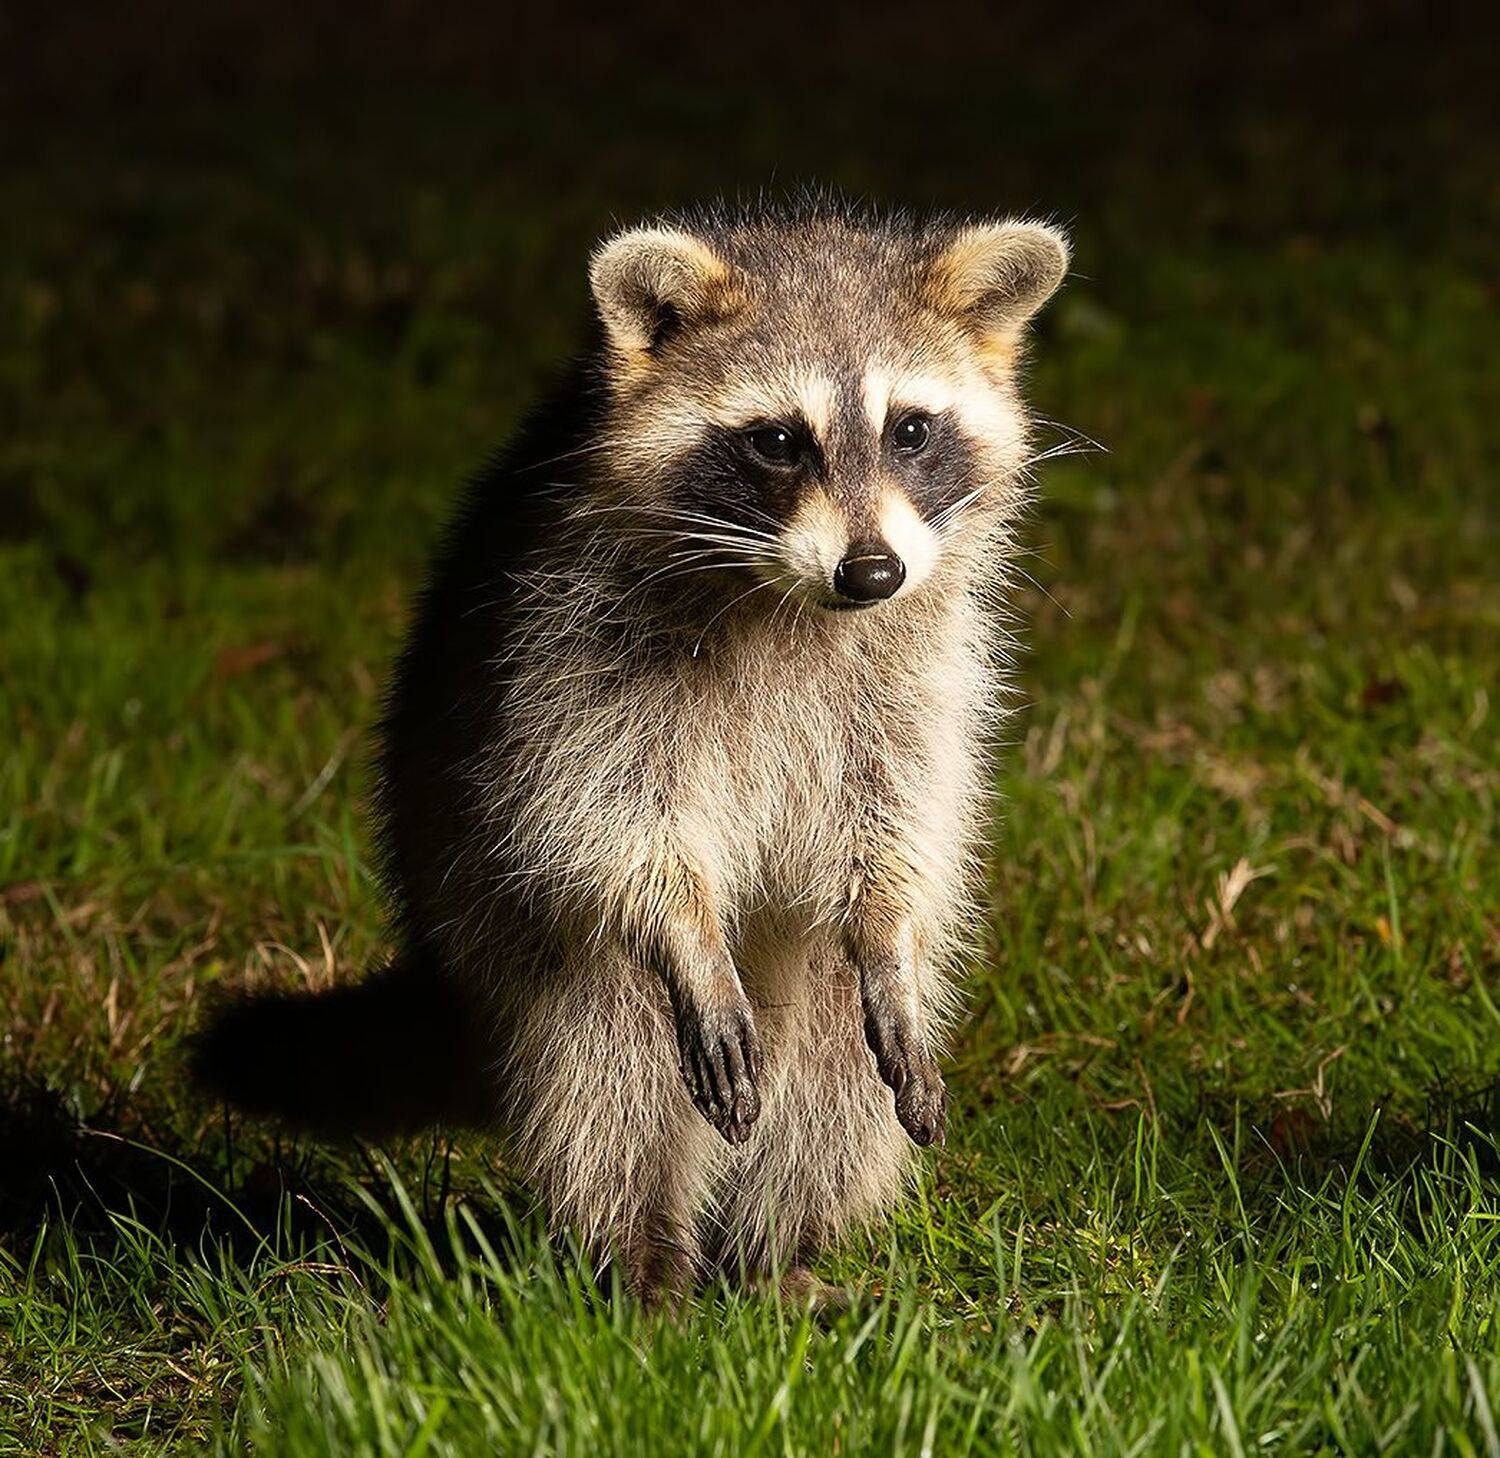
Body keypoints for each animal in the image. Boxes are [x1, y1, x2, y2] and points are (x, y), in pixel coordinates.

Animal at [196, 200, 1069, 1302]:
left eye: (911, 429)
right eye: (777, 442)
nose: (870, 572)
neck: (792, 600)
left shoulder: (916, 661)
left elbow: (900, 813)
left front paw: (890, 935)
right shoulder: (572, 644)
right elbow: (612, 813)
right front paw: (687, 933)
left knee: (833, 1079)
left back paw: (777, 1253)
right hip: (520, 942)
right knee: (615, 1074)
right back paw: (644, 1262)